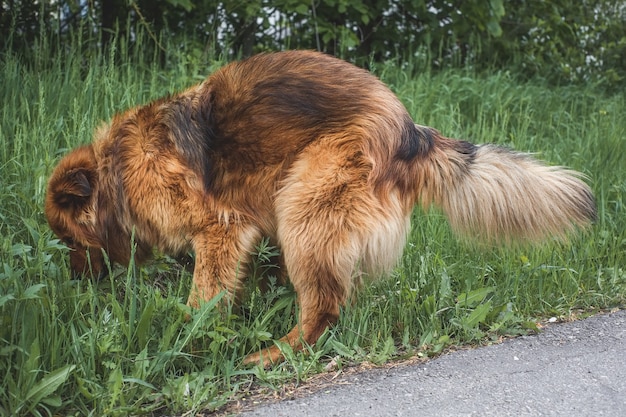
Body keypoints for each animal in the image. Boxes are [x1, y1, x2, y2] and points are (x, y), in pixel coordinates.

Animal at [45, 50, 596, 366]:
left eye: (69, 241)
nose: (75, 282)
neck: (118, 169)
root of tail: (410, 132)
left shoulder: (222, 226)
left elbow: (204, 295)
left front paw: (187, 337)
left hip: (304, 208)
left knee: (324, 311)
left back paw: (272, 354)